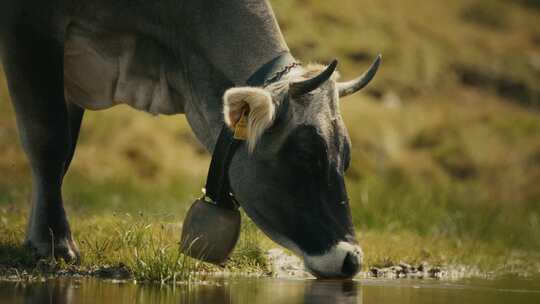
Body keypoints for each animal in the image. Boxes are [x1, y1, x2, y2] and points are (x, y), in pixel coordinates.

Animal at [1, 0, 380, 280]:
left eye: (346, 158)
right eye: (305, 154)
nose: (352, 260)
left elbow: (64, 154)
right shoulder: (31, 26)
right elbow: (50, 141)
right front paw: (54, 244)